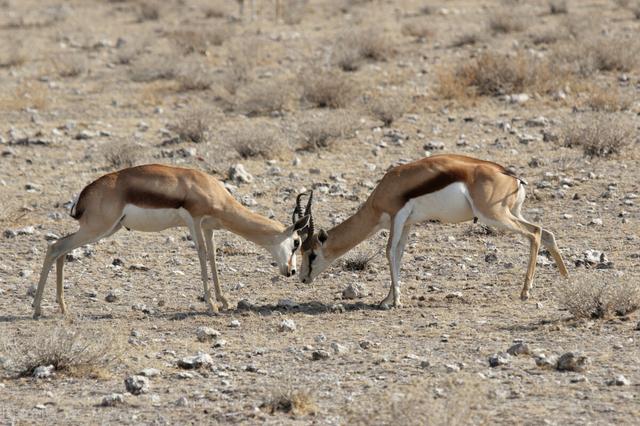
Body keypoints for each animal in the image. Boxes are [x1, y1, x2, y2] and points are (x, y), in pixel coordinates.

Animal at [33, 165, 310, 318]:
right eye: (296, 242)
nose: (291, 271)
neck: (210, 190)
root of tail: (85, 193)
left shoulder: (208, 228)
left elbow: (213, 258)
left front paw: (224, 300)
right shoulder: (194, 222)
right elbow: (201, 256)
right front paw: (211, 305)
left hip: (106, 229)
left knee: (60, 250)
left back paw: (61, 308)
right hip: (96, 228)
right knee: (54, 247)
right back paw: (37, 309)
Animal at [298, 155, 568, 308]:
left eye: (311, 253)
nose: (302, 278)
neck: (385, 190)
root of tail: (512, 177)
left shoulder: (397, 216)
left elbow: (389, 252)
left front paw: (394, 301)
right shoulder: (406, 223)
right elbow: (399, 254)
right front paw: (388, 299)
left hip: (493, 215)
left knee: (534, 234)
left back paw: (525, 292)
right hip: (513, 213)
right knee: (545, 232)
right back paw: (565, 278)